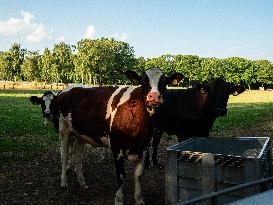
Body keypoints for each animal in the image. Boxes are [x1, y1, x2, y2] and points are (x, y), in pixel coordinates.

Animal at [56, 67, 182, 205]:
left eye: (164, 82)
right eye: (143, 81)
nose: (154, 96)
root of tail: (68, 88)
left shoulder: (143, 147)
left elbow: (138, 175)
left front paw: (139, 199)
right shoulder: (116, 147)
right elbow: (121, 175)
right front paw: (119, 200)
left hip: (81, 134)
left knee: (78, 157)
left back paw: (81, 182)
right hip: (64, 129)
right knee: (64, 156)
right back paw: (64, 183)